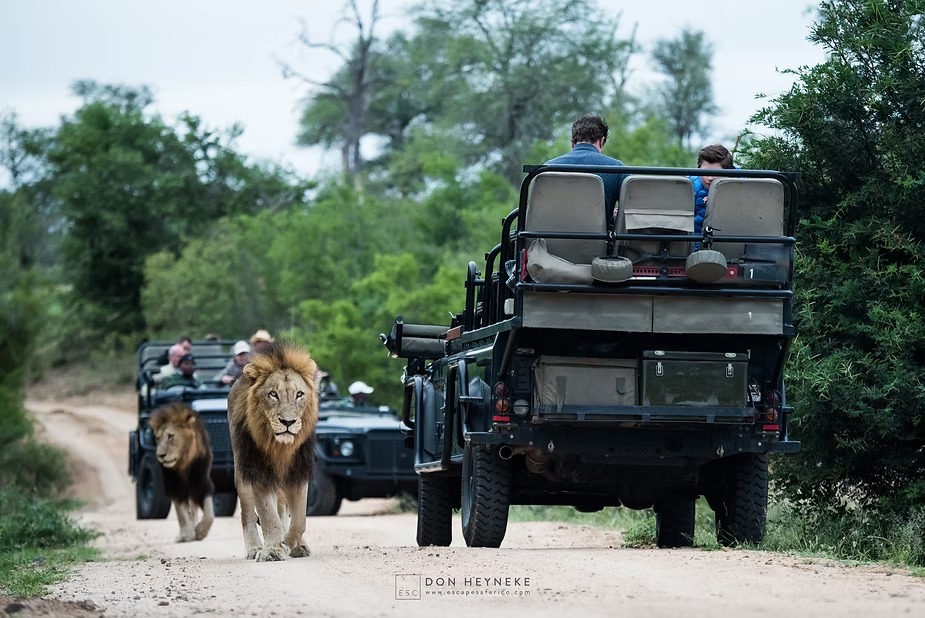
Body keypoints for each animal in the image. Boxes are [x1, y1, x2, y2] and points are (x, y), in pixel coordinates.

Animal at [149, 402, 215, 542]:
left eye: (170, 436)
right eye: (158, 438)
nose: (160, 455)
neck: (184, 464)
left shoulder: (202, 484)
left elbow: (209, 514)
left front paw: (200, 531)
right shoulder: (175, 487)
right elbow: (181, 514)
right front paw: (186, 534)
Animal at [227, 340, 318, 561]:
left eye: (299, 394)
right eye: (273, 394)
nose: (288, 422)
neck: (280, 448)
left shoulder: (298, 472)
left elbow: (300, 519)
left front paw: (289, 542)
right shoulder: (258, 471)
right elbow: (268, 515)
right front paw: (273, 549)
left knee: (283, 508)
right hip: (241, 470)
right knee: (247, 513)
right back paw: (254, 548)